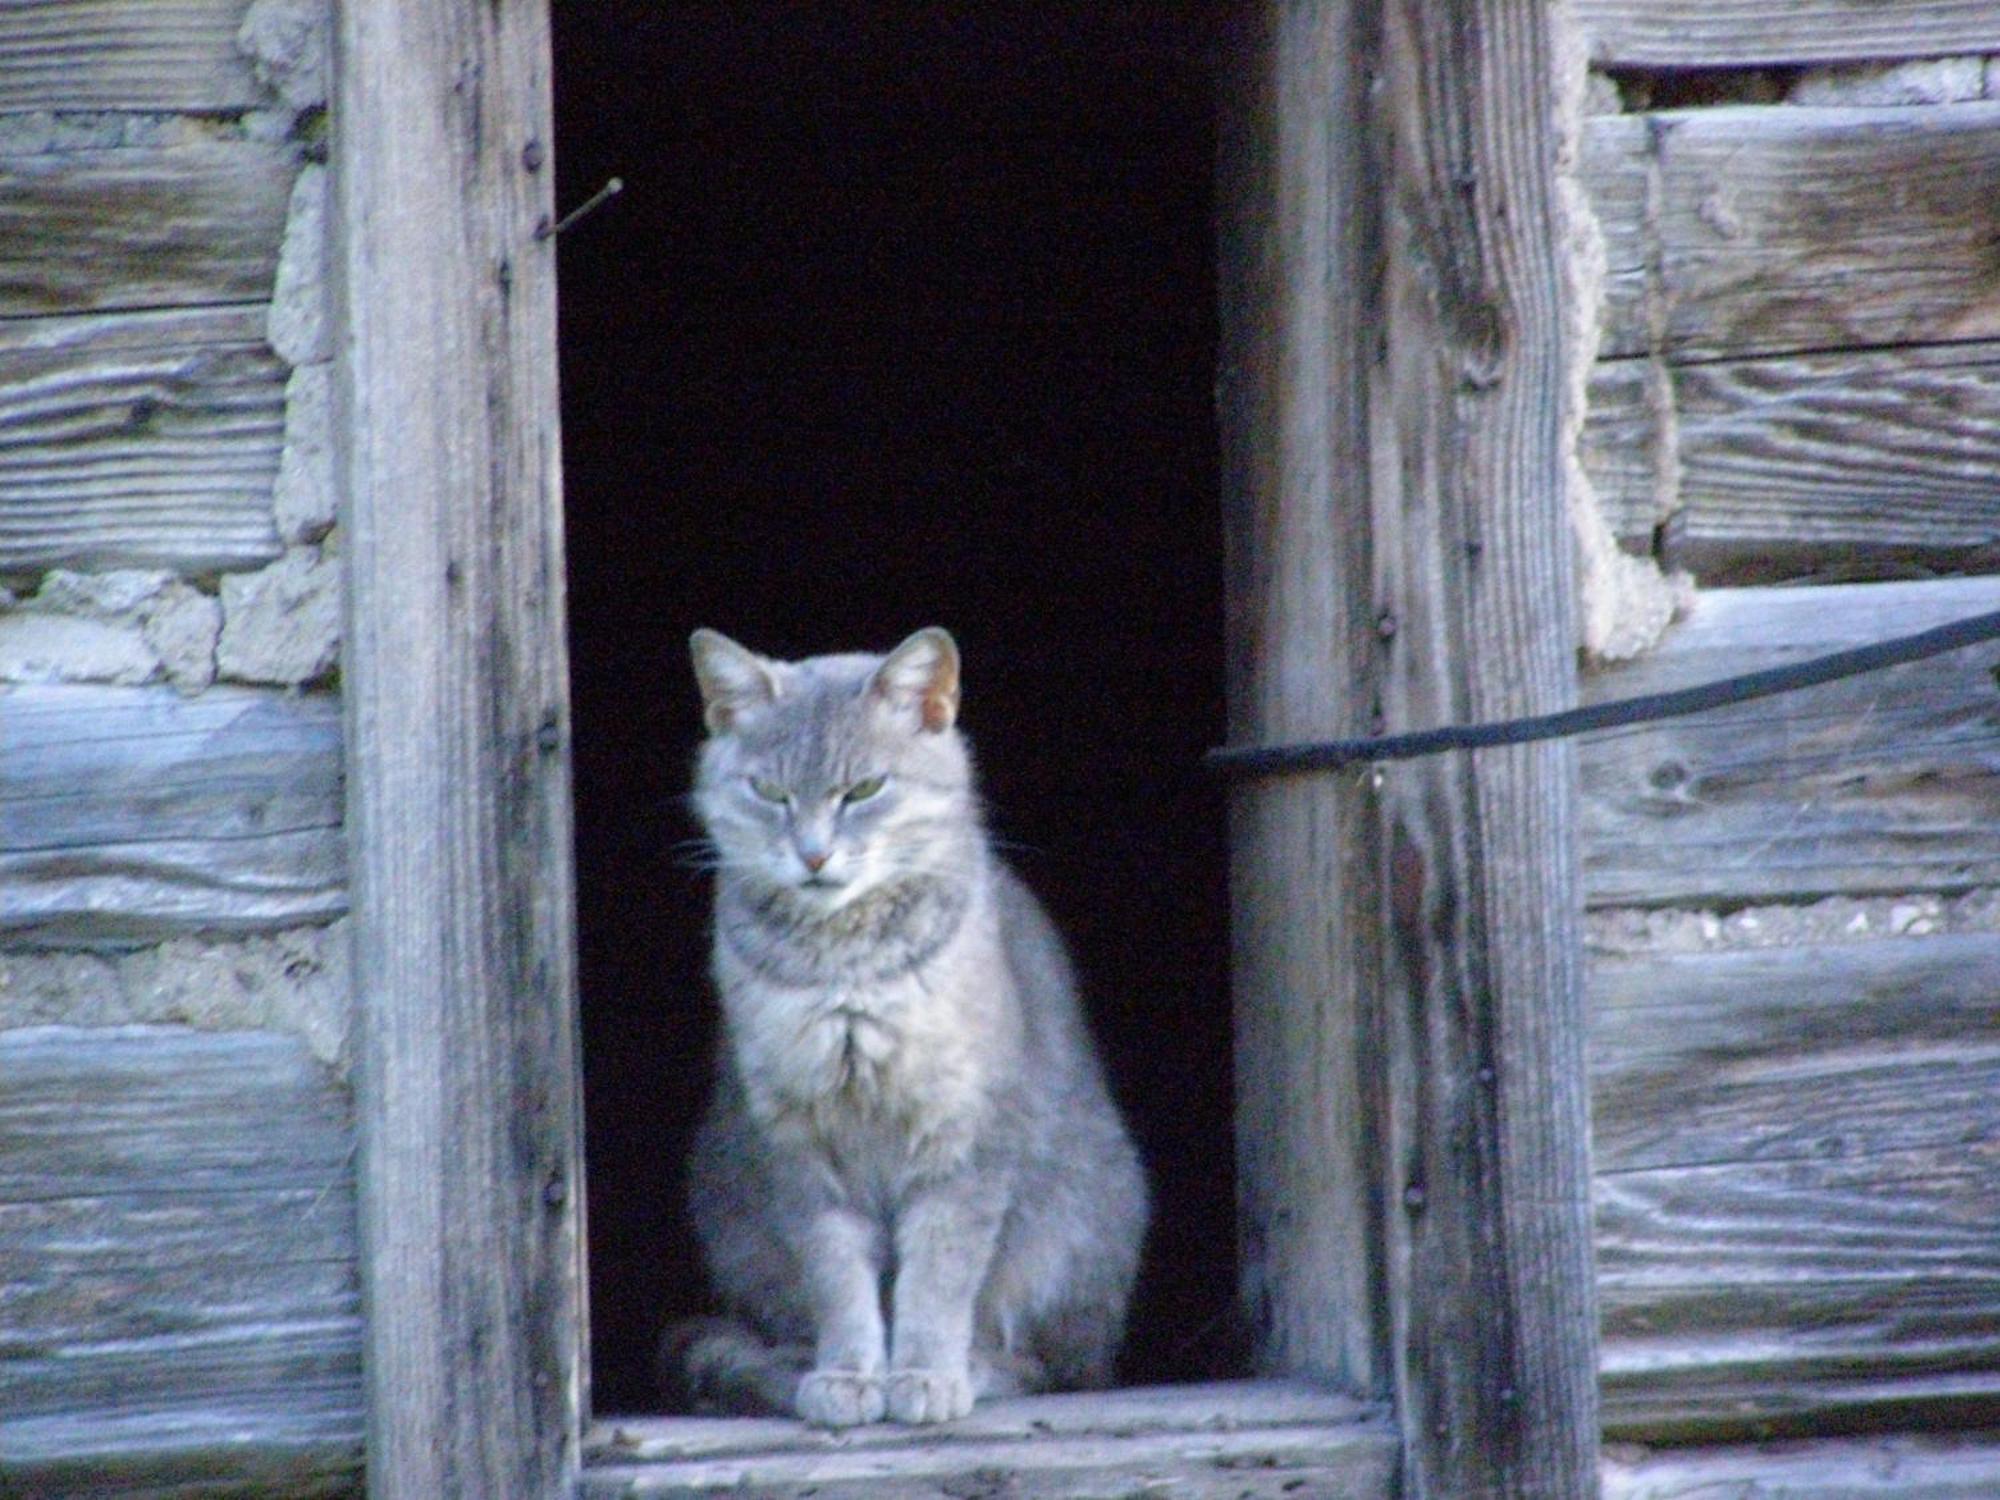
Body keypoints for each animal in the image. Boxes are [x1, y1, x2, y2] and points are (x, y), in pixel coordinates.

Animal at [668, 628, 1152, 1424]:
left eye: (865, 789)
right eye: (769, 793)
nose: (813, 854)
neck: (844, 965)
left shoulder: (964, 1136)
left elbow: (938, 1277)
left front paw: (924, 1373)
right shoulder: (798, 1142)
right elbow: (837, 1277)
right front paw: (847, 1373)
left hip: (1077, 1222)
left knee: (1059, 1364)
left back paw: (981, 1367)